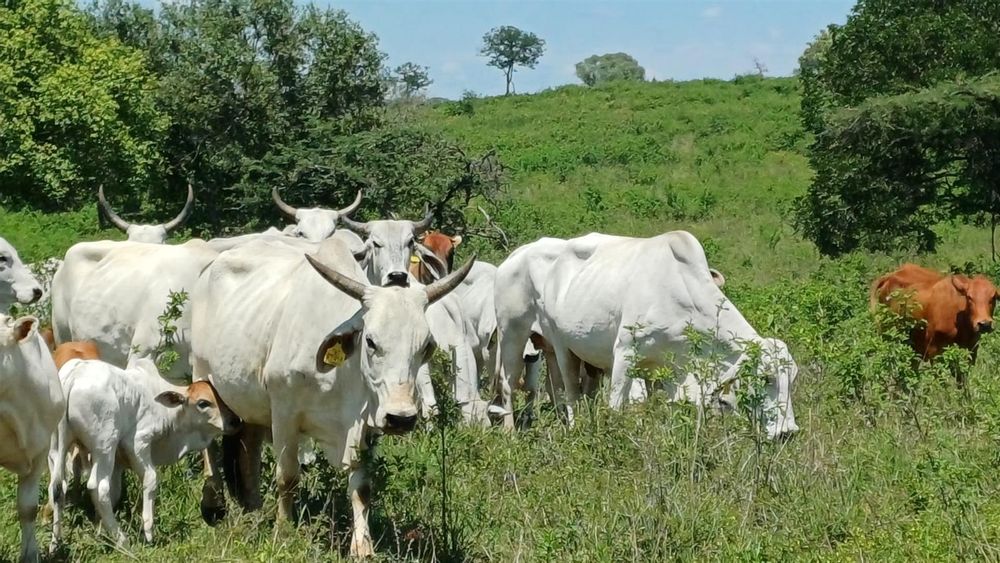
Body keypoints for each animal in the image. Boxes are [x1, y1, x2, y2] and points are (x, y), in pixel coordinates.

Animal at [48, 358, 240, 549]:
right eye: (203, 403)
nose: (235, 421)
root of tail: (75, 375)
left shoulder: (118, 461)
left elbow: (115, 492)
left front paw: (99, 529)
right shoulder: (138, 442)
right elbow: (151, 479)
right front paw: (147, 531)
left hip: (57, 447)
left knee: (57, 487)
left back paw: (56, 543)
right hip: (105, 447)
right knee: (98, 488)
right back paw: (123, 541)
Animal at [189, 236, 474, 557]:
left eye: (426, 345)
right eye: (371, 341)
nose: (400, 418)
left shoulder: (366, 425)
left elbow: (362, 488)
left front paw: (362, 546)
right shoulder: (284, 414)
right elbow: (287, 477)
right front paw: (283, 532)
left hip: (249, 402)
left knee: (247, 451)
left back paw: (253, 511)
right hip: (202, 374)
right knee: (209, 445)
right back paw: (214, 504)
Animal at [534, 231, 798, 440]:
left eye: (792, 378)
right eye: (766, 377)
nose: (787, 432)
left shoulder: (671, 371)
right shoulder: (624, 353)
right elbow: (616, 406)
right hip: (561, 347)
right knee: (570, 393)